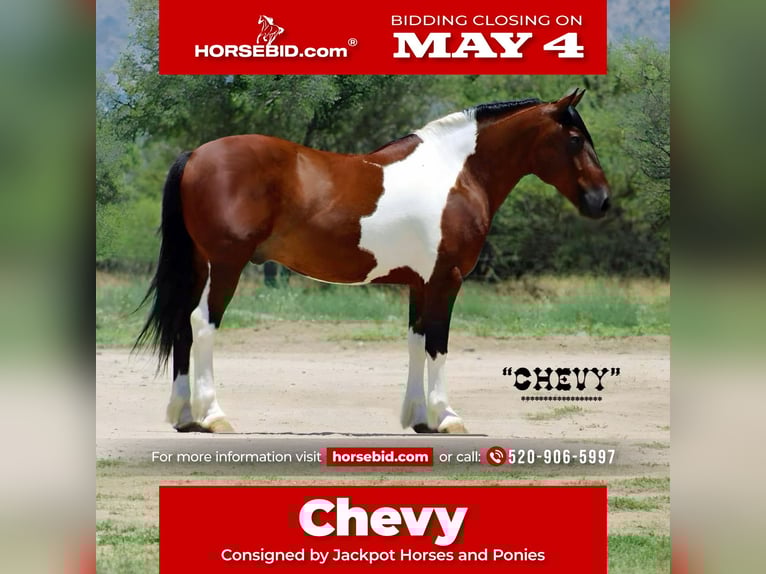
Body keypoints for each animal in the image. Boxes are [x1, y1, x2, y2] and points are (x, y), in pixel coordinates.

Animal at [135, 89, 611, 434]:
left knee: (181, 327)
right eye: (575, 139)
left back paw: (184, 416)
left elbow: (417, 341)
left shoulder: (421, 283)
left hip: (199, 266)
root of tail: (196, 155)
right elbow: (438, 344)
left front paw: (418, 419)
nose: (602, 201)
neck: (456, 174)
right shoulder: (447, 280)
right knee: (201, 324)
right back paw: (213, 415)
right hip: (225, 266)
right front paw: (447, 417)